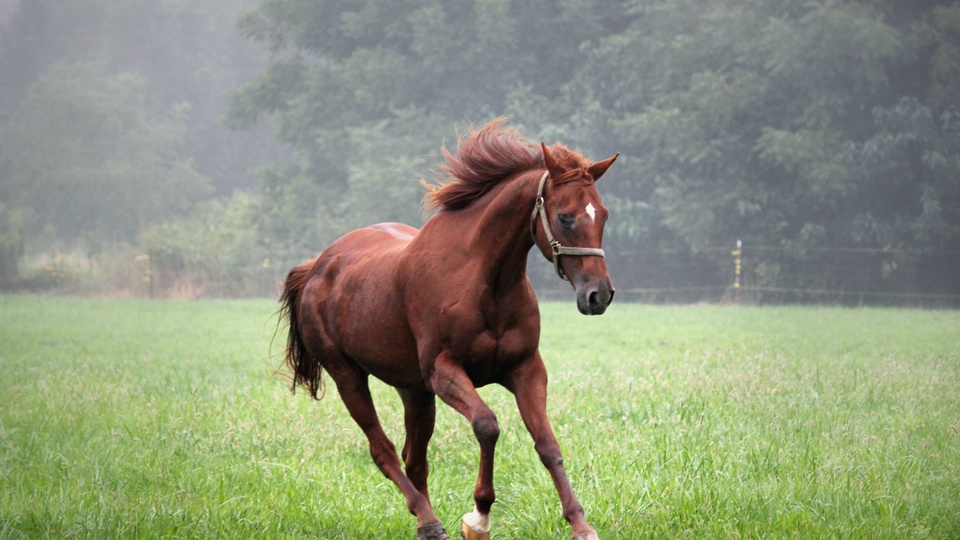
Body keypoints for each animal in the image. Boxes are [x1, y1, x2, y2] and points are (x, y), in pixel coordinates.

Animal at [279, 118, 618, 540]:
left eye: (603, 214)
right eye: (566, 217)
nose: (599, 296)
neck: (485, 281)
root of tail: (317, 266)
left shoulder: (526, 369)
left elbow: (547, 444)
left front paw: (580, 524)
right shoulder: (445, 373)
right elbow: (487, 426)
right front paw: (479, 517)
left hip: (414, 391)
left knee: (414, 457)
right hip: (348, 377)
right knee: (384, 451)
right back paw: (429, 520)